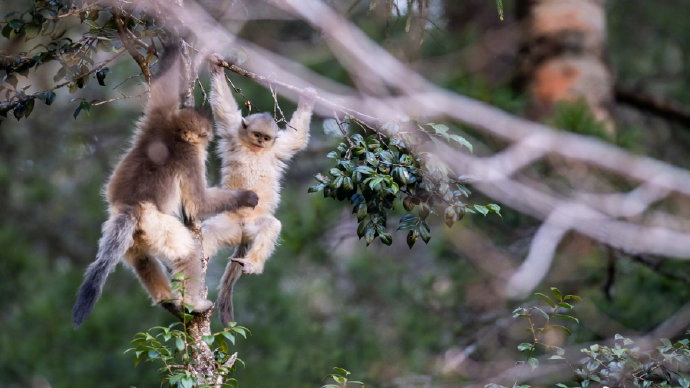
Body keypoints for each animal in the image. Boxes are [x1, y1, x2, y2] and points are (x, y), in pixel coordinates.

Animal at [71, 48, 258, 328]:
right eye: (204, 137)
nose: (208, 139)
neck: (175, 135)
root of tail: (131, 208)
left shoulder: (158, 118)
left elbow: (165, 85)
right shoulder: (190, 157)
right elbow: (198, 204)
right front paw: (246, 197)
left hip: (135, 232)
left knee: (142, 258)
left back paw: (166, 299)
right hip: (157, 224)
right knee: (187, 252)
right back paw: (192, 303)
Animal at [199, 52, 314, 324]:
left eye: (266, 138)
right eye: (257, 135)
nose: (261, 142)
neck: (255, 150)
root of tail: (241, 232)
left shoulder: (279, 148)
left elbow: (297, 139)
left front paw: (307, 100)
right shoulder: (232, 132)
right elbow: (224, 110)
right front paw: (216, 67)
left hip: (253, 227)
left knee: (271, 227)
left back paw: (251, 264)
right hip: (228, 226)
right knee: (208, 233)